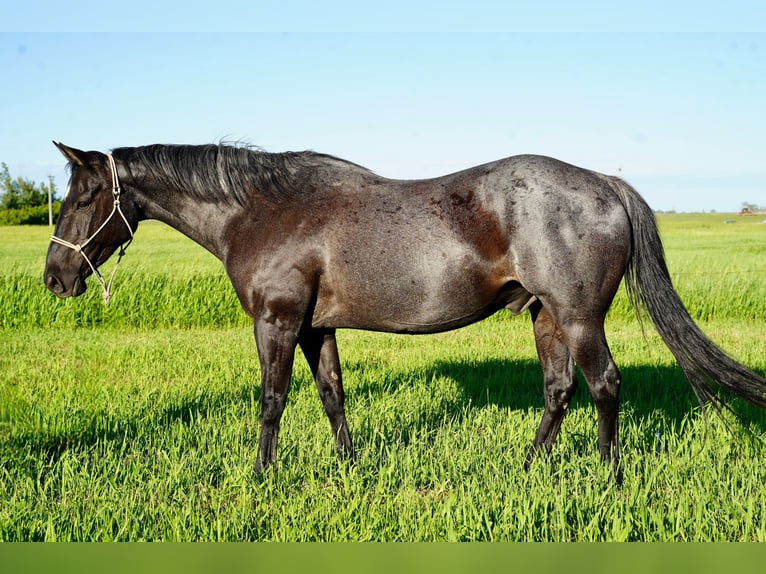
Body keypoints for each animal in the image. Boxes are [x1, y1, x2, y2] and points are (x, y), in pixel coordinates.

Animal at [43, 142, 766, 474]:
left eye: (84, 196)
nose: (54, 277)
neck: (263, 211)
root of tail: (605, 183)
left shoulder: (277, 322)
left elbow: (272, 400)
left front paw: (261, 474)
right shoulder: (316, 328)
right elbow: (332, 396)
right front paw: (348, 467)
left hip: (580, 317)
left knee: (604, 385)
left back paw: (608, 476)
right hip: (546, 316)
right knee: (559, 389)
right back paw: (530, 467)